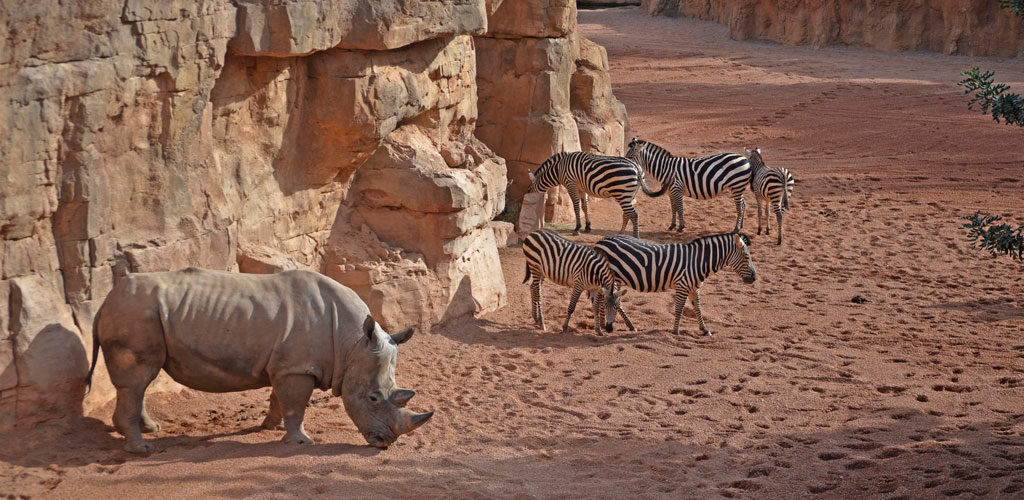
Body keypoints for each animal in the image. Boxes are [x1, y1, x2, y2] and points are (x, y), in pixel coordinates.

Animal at [524, 149, 667, 237]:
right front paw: (587, 226)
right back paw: (620, 233)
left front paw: (577, 228)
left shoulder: (571, 184)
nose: (525, 196)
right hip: (629, 194)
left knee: (633, 214)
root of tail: (637, 167)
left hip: (622, 193)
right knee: (627, 214)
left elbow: (576, 206)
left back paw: (635, 237)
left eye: (529, 189)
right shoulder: (581, 187)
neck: (558, 168)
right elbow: (585, 206)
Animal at [598, 231, 757, 336]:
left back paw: (626, 326)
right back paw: (602, 325)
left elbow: (698, 308)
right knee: (603, 299)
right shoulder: (682, 285)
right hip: (611, 277)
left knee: (611, 300)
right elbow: (679, 309)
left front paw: (704, 329)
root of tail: (602, 240)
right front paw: (675, 331)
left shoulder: (694, 287)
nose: (754, 278)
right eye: (747, 256)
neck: (698, 261)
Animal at [622, 136, 753, 234]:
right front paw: (672, 225)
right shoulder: (670, 192)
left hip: (737, 186)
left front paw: (681, 227)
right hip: (738, 187)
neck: (666, 169)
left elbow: (680, 208)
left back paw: (736, 229)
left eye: (630, 156)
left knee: (739, 207)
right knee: (743, 204)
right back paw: (741, 225)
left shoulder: (677, 189)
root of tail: (744, 158)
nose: (625, 165)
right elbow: (673, 208)